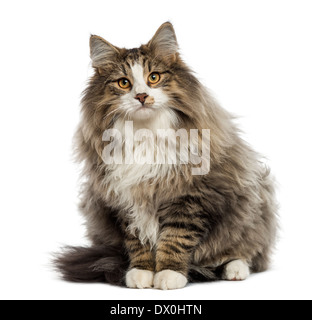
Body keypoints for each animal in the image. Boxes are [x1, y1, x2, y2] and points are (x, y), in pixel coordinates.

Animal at [54, 21, 278, 288]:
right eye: (123, 83)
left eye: (154, 77)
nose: (141, 96)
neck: (145, 134)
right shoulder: (123, 196)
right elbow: (137, 240)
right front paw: (140, 273)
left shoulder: (190, 195)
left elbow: (175, 238)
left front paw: (170, 274)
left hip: (251, 205)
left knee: (246, 249)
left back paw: (234, 270)